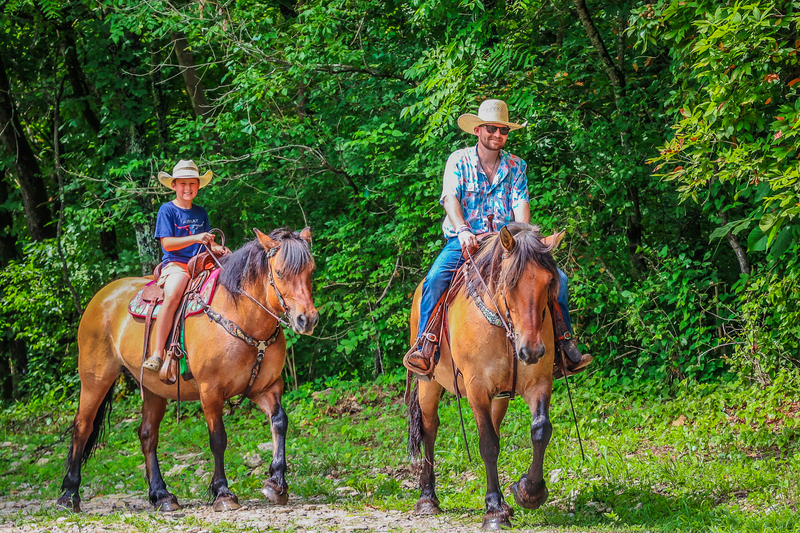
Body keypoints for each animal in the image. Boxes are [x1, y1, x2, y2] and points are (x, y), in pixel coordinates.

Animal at [56, 227, 318, 512]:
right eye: (279, 272)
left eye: (311, 270)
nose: (307, 319)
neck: (241, 315)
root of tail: (100, 296)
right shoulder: (210, 391)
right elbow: (218, 438)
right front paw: (223, 492)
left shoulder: (266, 387)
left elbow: (280, 422)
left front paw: (276, 484)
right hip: (96, 377)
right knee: (82, 427)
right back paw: (69, 495)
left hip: (153, 388)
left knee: (147, 434)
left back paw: (161, 495)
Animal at [406, 220, 564, 528]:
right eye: (509, 283)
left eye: (550, 282)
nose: (531, 350)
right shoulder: (476, 388)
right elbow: (488, 444)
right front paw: (493, 510)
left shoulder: (539, 382)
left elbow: (540, 430)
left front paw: (528, 492)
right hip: (428, 384)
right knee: (430, 430)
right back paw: (427, 498)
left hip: (500, 396)